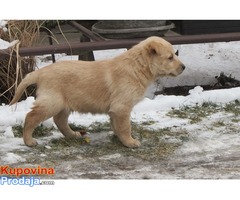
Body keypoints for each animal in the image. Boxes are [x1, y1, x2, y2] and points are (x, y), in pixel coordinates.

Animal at [9, 36, 186, 148]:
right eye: (170, 57)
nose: (184, 67)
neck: (137, 66)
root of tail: (41, 72)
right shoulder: (122, 107)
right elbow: (125, 127)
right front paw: (130, 142)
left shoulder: (115, 110)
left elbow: (117, 125)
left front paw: (119, 138)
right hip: (52, 102)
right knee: (31, 117)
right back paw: (28, 141)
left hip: (64, 103)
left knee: (59, 120)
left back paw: (72, 135)